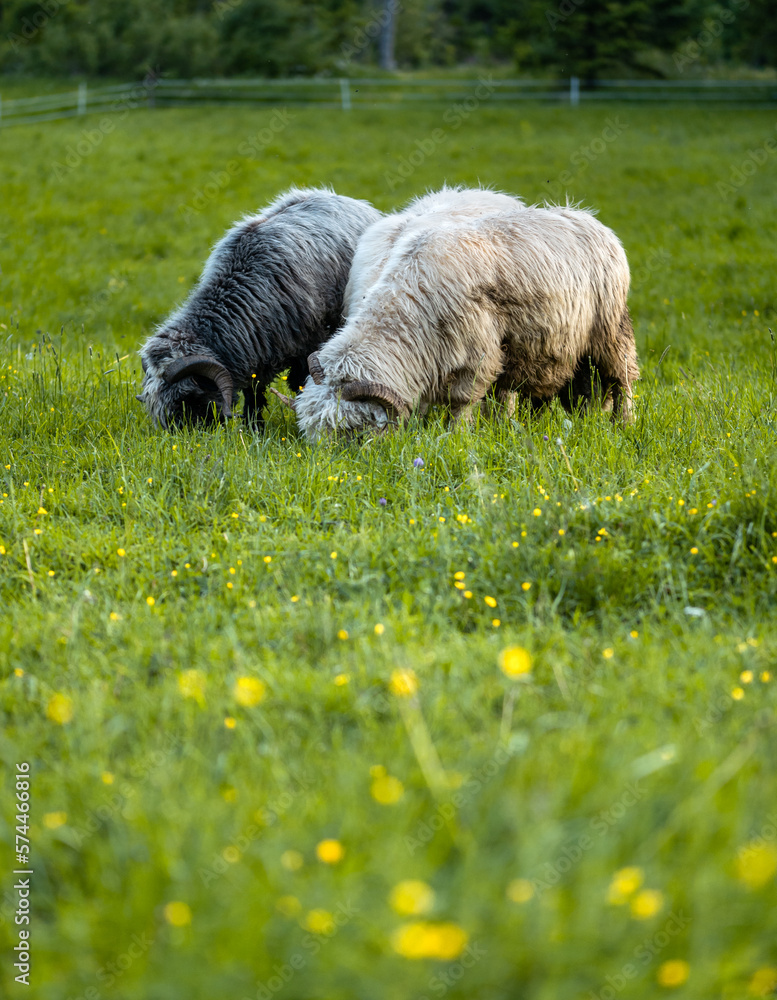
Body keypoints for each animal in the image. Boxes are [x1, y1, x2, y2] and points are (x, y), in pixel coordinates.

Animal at [136, 186, 381, 429]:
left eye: (187, 398)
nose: (180, 437)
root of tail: (340, 197)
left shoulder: (307, 349)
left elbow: (299, 385)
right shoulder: (254, 352)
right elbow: (253, 391)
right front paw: (254, 426)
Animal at [273, 190, 638, 439]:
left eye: (352, 431)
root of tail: (581, 214)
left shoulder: (478, 355)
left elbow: (461, 401)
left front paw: (457, 437)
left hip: (610, 330)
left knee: (622, 379)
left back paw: (624, 425)